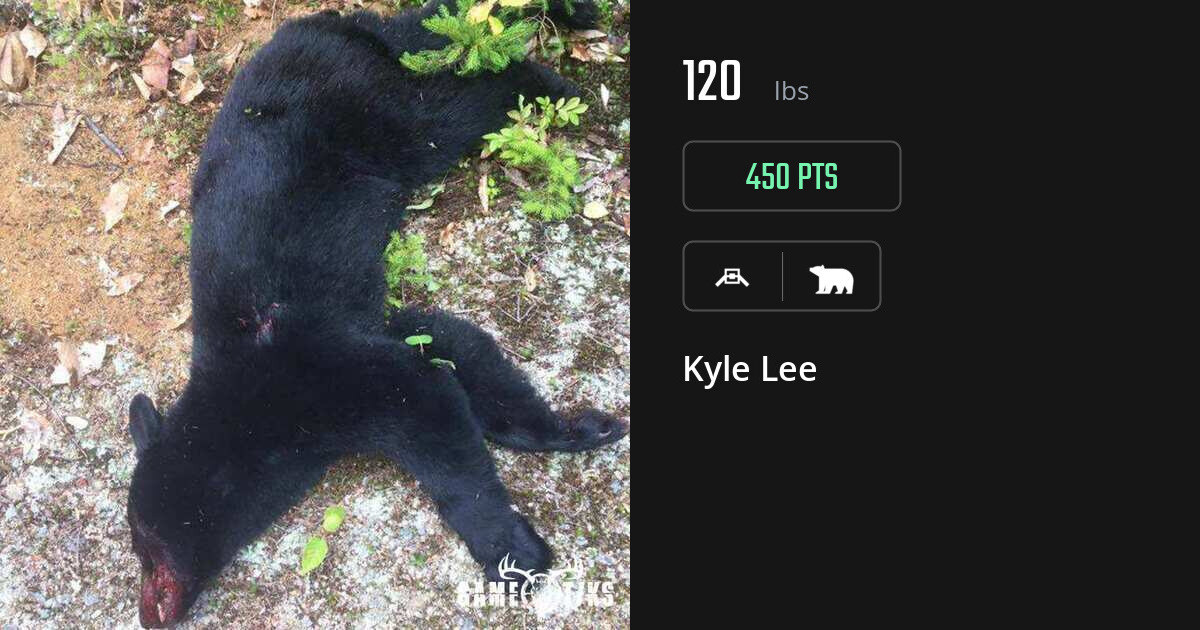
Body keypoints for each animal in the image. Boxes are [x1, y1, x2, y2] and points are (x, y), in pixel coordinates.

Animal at [124, 2, 625, 627]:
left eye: (141, 538)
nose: (147, 610)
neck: (246, 412)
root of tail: (334, 23)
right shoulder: (370, 336)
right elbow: (446, 344)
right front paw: (580, 428)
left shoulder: (312, 370)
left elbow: (424, 404)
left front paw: (512, 551)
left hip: (378, 111)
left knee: (456, 99)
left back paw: (552, 83)